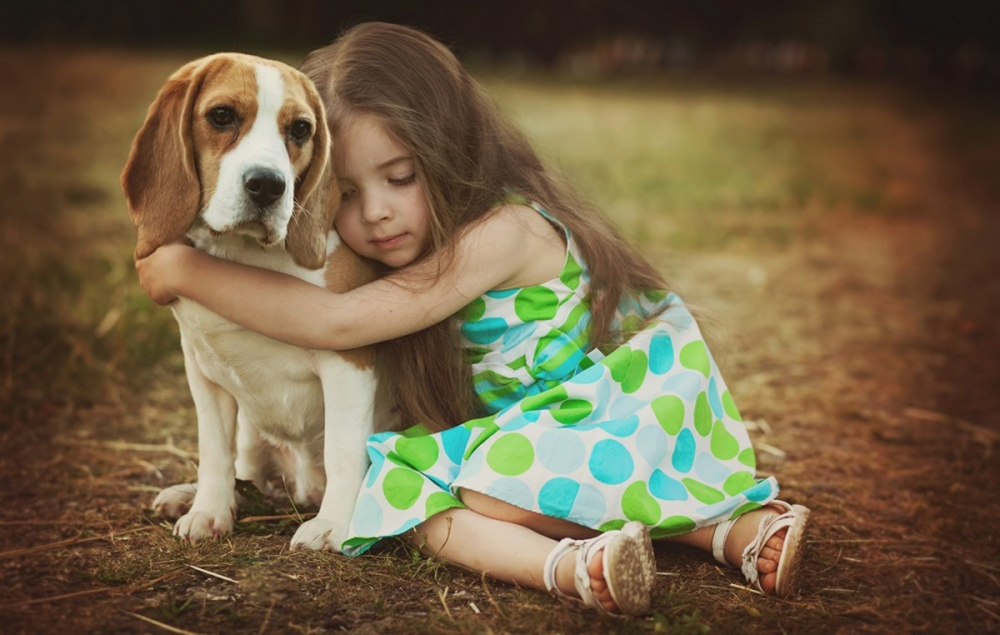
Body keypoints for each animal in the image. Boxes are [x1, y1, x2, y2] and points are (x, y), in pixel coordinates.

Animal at [122, 53, 390, 552]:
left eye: (300, 129)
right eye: (221, 115)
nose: (267, 185)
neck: (245, 259)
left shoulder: (349, 364)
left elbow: (344, 450)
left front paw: (335, 525)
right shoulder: (202, 368)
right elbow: (213, 450)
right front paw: (208, 510)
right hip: (250, 430)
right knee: (241, 466)